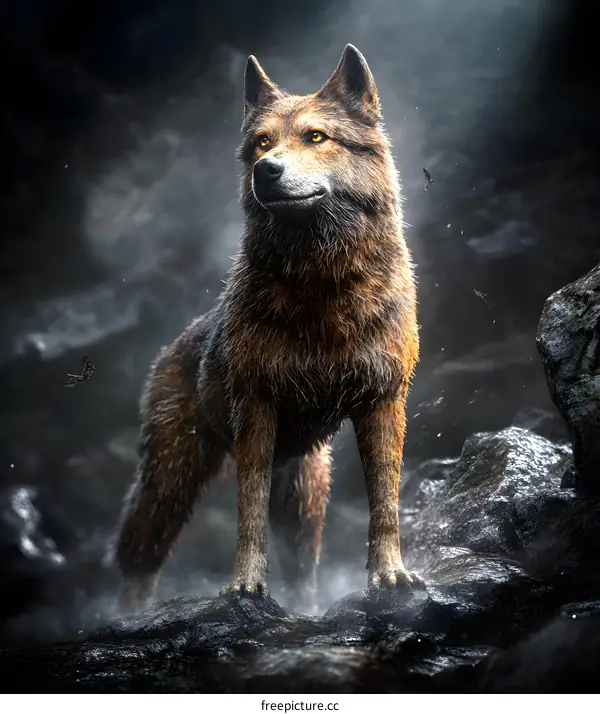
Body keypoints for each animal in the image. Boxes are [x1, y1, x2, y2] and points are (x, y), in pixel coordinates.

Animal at [113, 44, 423, 614]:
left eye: (316, 137)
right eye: (261, 142)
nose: (266, 170)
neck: (323, 290)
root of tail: (175, 343)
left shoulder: (383, 401)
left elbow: (385, 503)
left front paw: (391, 575)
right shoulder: (256, 410)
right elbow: (247, 515)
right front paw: (245, 588)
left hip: (304, 491)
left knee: (304, 566)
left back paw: (308, 611)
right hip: (171, 477)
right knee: (139, 552)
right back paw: (127, 617)